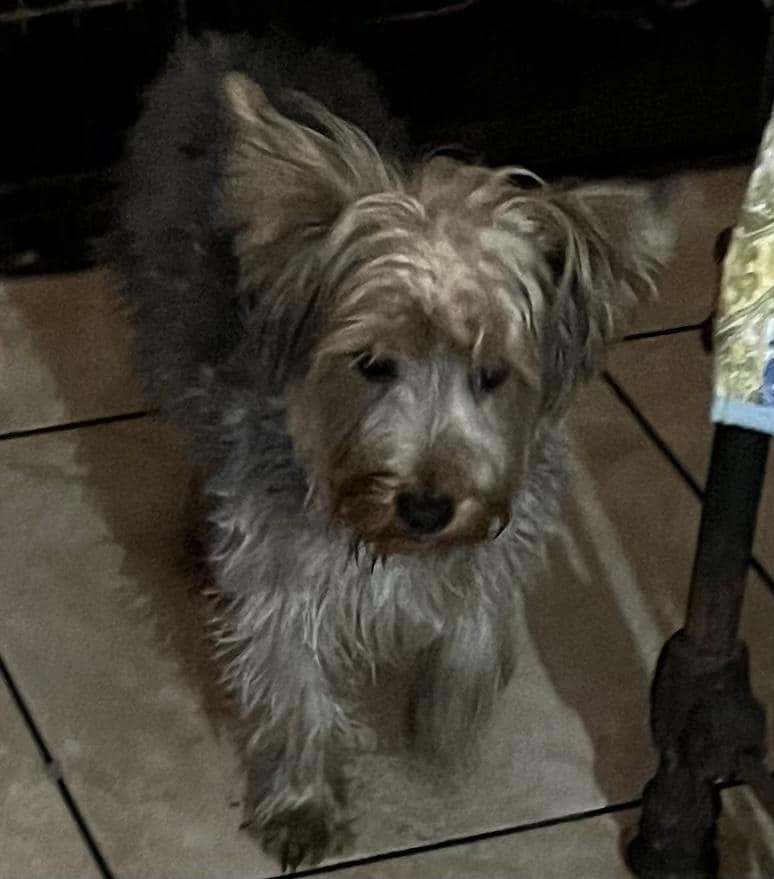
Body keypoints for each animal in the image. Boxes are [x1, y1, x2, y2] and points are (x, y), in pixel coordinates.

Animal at [111, 31, 675, 870]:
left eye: (492, 374)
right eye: (372, 363)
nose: (427, 506)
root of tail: (233, 41)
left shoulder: (499, 531)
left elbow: (474, 630)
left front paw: (444, 723)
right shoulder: (277, 560)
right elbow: (290, 675)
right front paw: (304, 801)